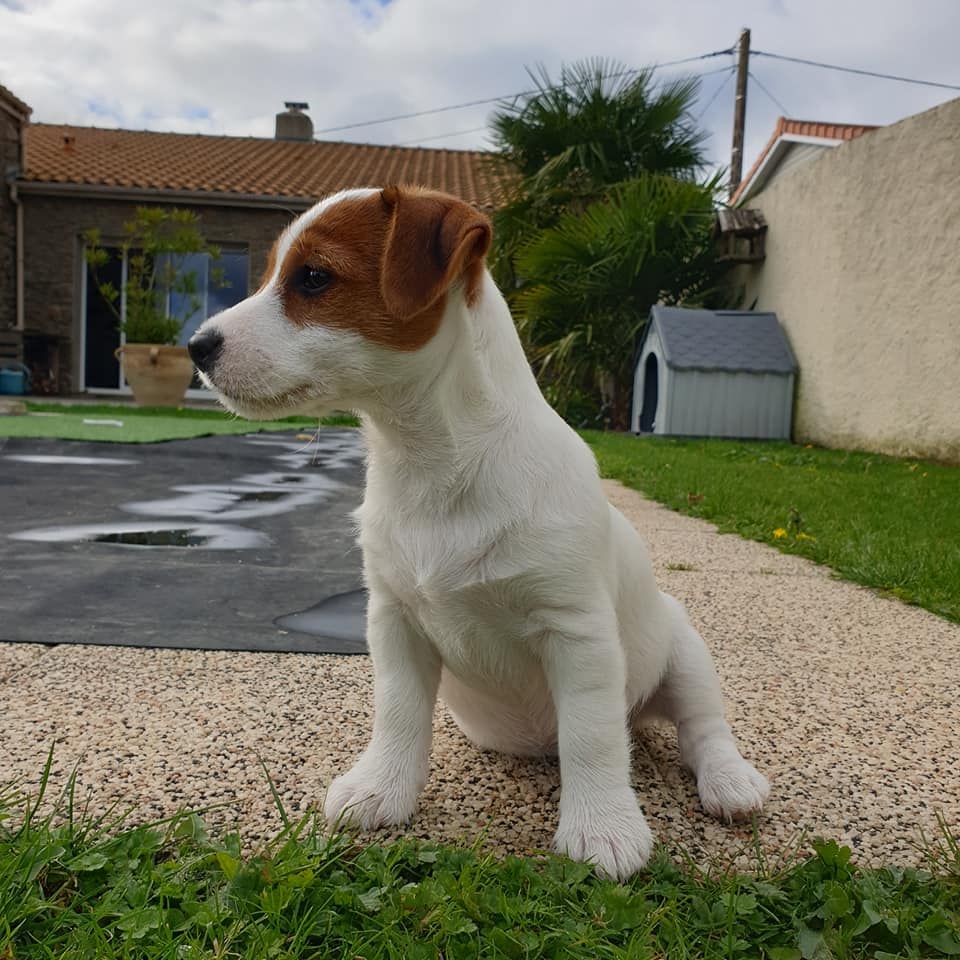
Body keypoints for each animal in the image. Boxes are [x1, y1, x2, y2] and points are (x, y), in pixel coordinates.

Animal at [191, 184, 768, 880]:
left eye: (313, 277)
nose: (195, 346)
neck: (430, 463)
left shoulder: (577, 633)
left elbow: (592, 736)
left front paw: (602, 827)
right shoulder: (394, 622)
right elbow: (399, 714)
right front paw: (382, 789)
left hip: (685, 652)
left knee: (701, 727)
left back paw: (730, 782)